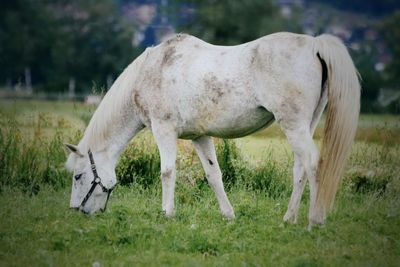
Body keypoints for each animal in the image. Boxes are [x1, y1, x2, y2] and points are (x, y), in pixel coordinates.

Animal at [65, 31, 360, 228]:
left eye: (78, 176)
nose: (77, 210)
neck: (152, 71)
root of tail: (314, 45)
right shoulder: (200, 137)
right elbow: (213, 175)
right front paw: (228, 215)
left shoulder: (164, 129)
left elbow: (167, 172)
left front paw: (167, 213)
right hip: (304, 125)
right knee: (300, 169)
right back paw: (289, 218)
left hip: (294, 125)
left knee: (312, 164)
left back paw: (314, 220)